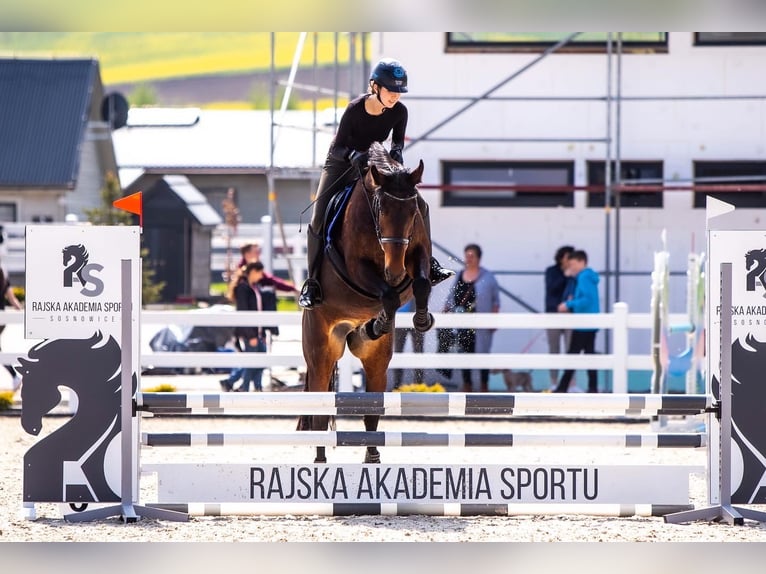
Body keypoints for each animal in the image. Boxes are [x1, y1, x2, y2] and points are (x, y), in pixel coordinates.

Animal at [300, 142, 436, 466]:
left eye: (414, 211)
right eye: (381, 210)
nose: (395, 272)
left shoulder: (419, 254)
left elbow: (421, 283)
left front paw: (420, 320)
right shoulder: (357, 268)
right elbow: (387, 295)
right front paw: (383, 319)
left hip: (376, 359)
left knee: (372, 408)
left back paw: (372, 455)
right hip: (321, 352)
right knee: (319, 411)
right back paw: (320, 458)